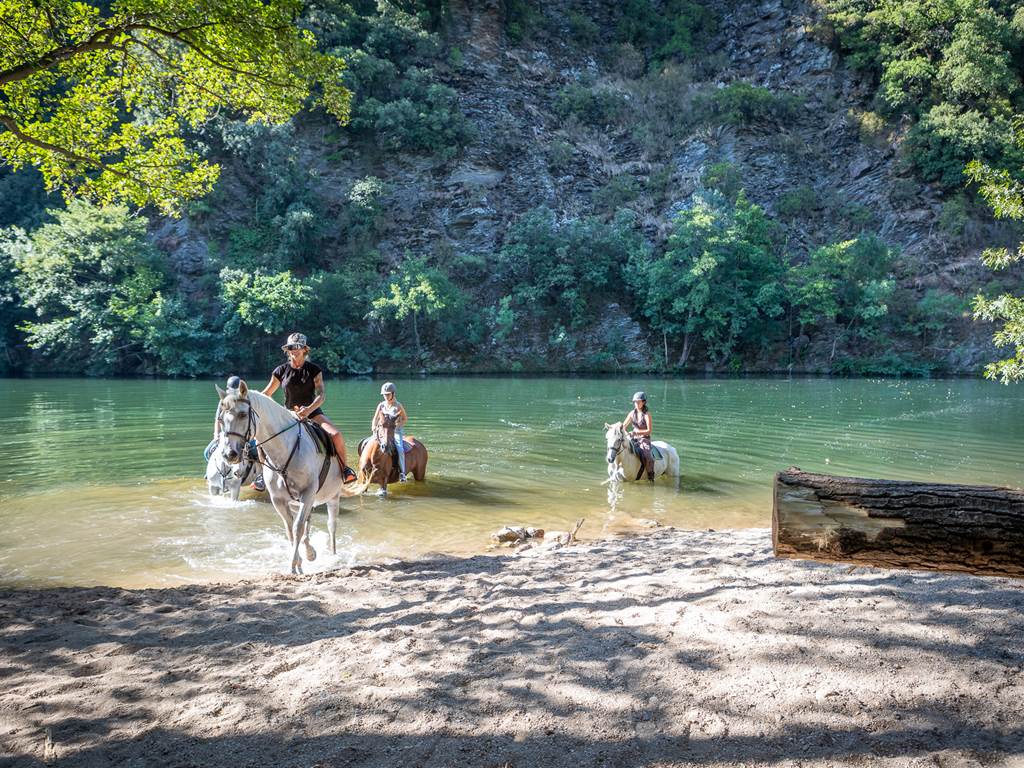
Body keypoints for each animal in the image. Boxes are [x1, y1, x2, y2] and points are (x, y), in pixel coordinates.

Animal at [216, 380, 368, 574]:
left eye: (243, 414)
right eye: (221, 419)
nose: (230, 454)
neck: (285, 450)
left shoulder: (308, 493)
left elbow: (297, 528)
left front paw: (293, 567)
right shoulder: (279, 500)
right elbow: (290, 529)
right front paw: (300, 563)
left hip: (332, 497)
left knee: (331, 525)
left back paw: (332, 556)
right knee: (307, 523)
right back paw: (310, 551)